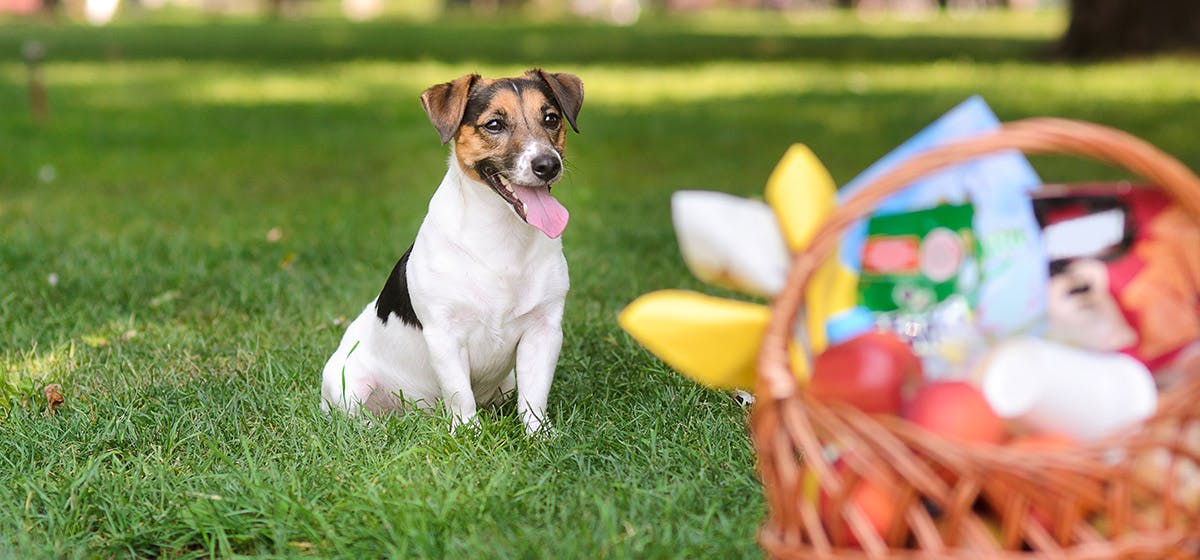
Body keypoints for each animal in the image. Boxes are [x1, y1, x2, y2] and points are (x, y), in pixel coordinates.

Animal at [319, 68, 580, 434]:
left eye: (551, 118)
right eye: (494, 124)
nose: (548, 164)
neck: (502, 236)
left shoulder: (544, 331)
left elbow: (534, 396)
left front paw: (539, 435)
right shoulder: (445, 335)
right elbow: (460, 394)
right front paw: (470, 435)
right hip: (346, 385)